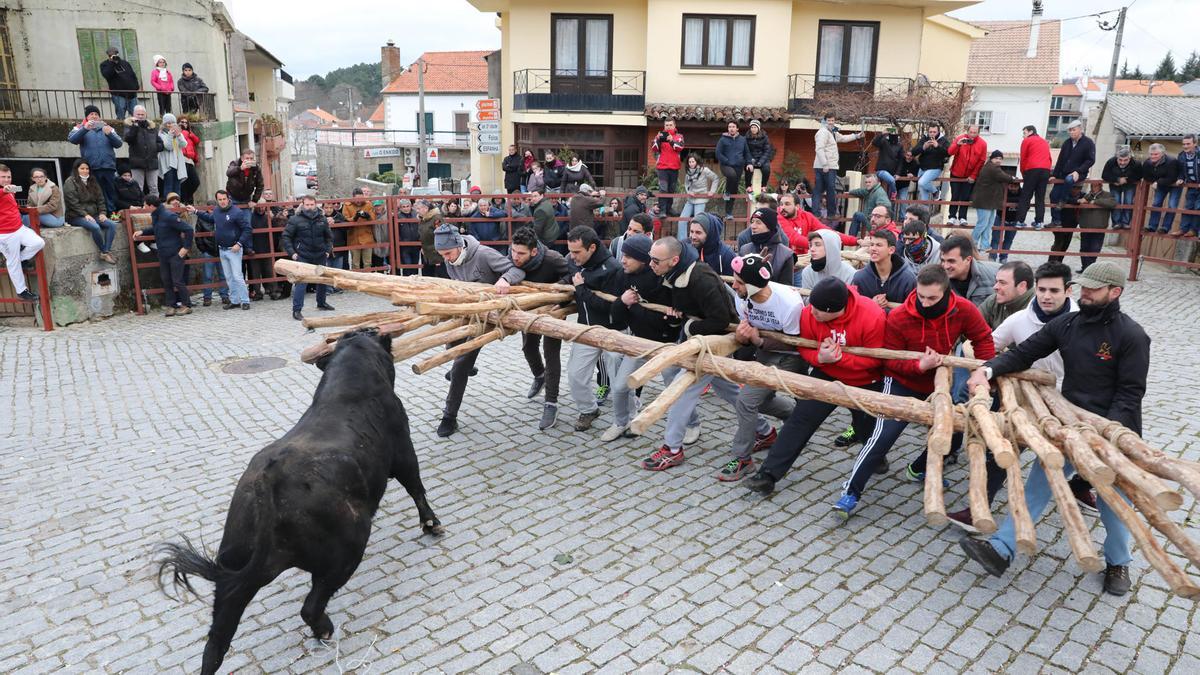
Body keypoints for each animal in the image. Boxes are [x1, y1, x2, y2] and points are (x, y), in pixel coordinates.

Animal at [157, 329, 444, 672]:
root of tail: (269, 478)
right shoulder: (403, 449)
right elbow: (416, 484)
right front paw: (432, 524)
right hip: (348, 547)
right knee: (311, 604)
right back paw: (325, 629)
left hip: (235, 571)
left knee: (216, 641)